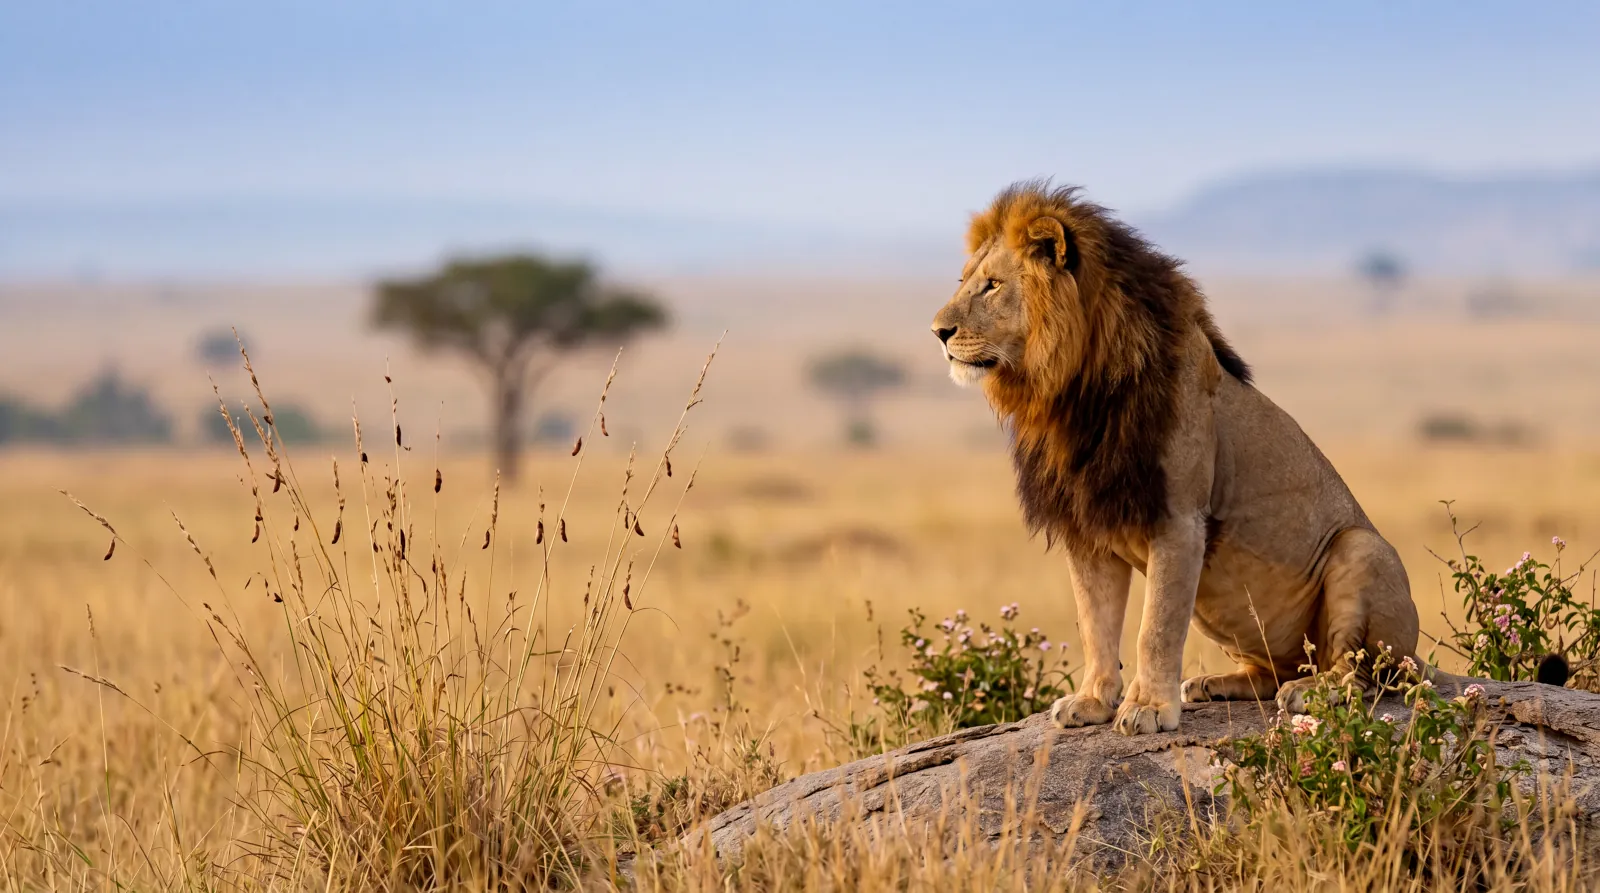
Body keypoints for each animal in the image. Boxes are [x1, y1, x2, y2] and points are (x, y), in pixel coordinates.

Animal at [930, 181, 1420, 735]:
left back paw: (1314, 691)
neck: (1071, 393)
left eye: (992, 286)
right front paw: (1092, 701)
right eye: (964, 282)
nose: (937, 332)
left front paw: (1146, 707)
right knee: (1273, 671)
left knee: (1362, 673)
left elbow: (1155, 628)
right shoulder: (1087, 526)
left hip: (1362, 552)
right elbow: (1095, 624)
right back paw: (1216, 684)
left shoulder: (1179, 520)